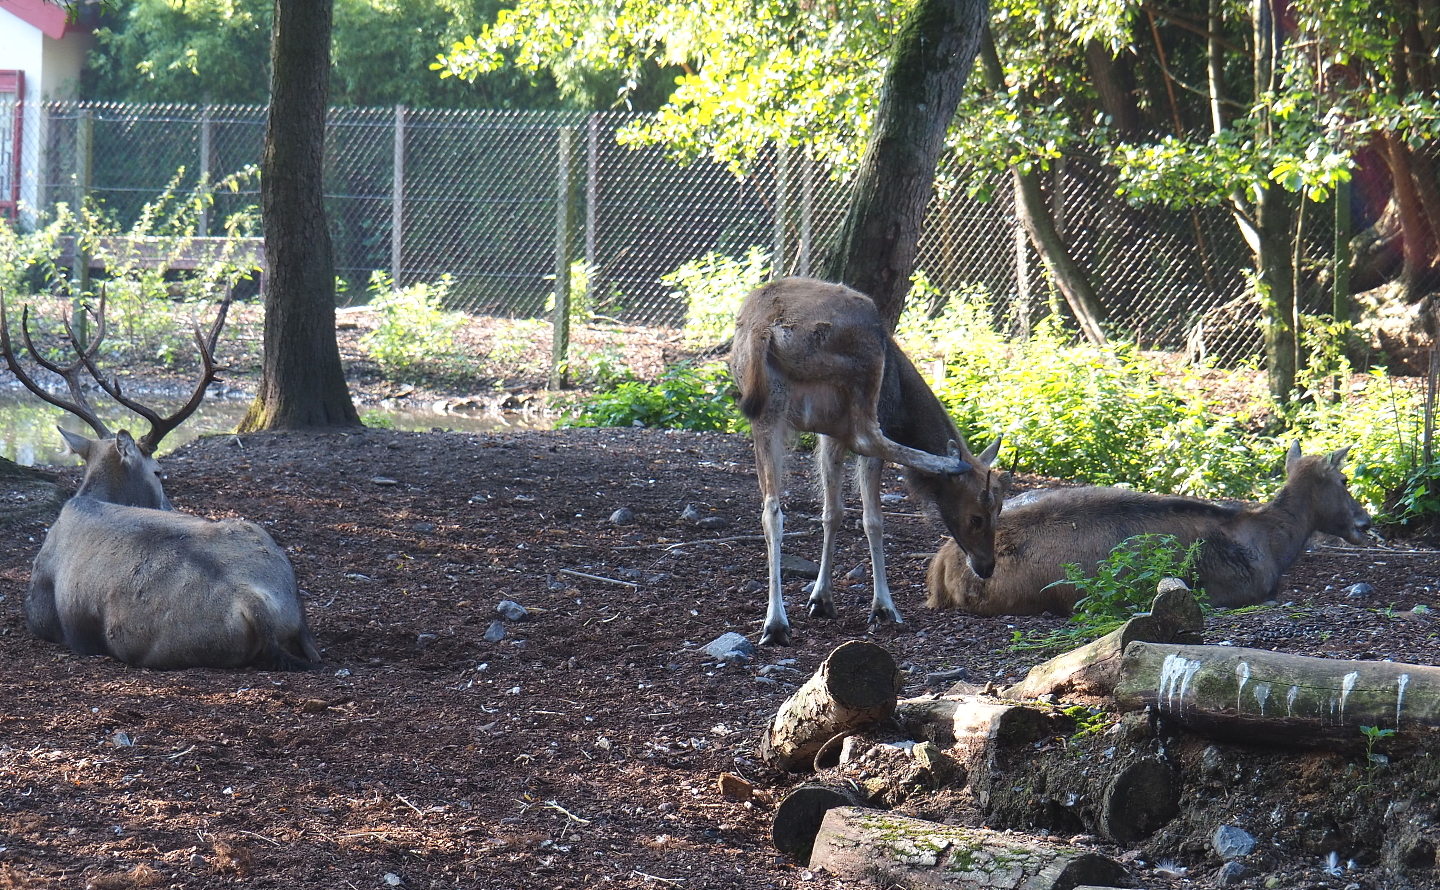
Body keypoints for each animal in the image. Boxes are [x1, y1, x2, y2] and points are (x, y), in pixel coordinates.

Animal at [1, 290, 322, 670]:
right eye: (158, 472)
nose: (171, 505)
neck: (88, 498)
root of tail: (252, 602)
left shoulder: (37, 610)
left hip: (145, 644)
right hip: (262, 546)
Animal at [730, 277, 1007, 646]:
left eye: (999, 511)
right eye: (977, 517)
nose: (987, 566)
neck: (905, 411)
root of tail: (764, 327)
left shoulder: (828, 433)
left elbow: (832, 512)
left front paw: (821, 599)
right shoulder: (864, 426)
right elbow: (872, 519)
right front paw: (883, 606)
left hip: (766, 412)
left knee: (771, 509)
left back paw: (775, 623)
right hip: (864, 375)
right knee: (868, 437)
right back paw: (946, 463)